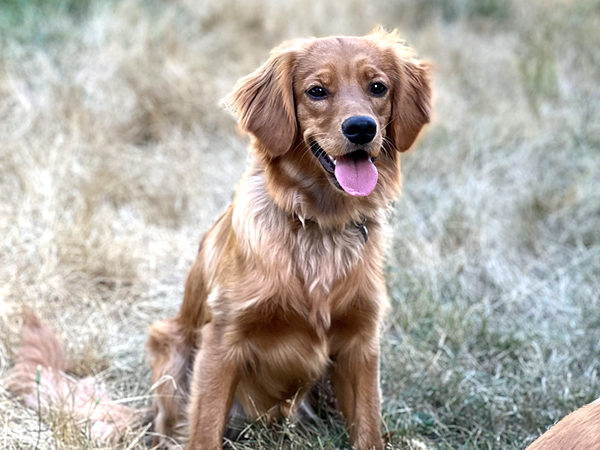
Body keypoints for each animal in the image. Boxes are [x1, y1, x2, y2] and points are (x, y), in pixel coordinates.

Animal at [148, 28, 434, 450]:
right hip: (169, 344)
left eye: (378, 87)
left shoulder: (361, 343)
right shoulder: (222, 339)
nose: (362, 128)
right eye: (316, 91)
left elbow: (368, 428)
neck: (320, 225)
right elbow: (205, 429)